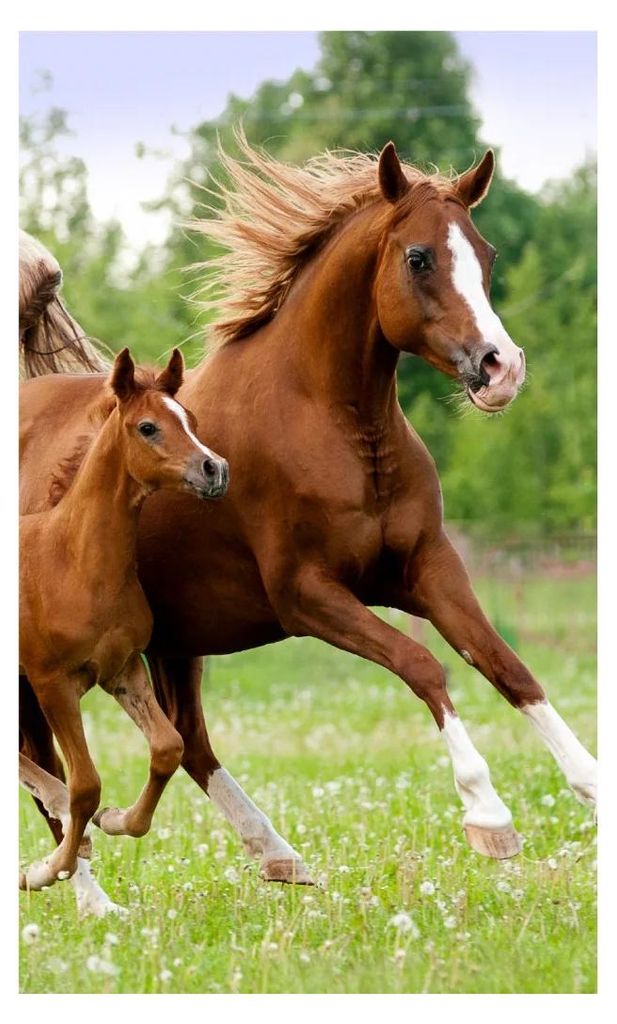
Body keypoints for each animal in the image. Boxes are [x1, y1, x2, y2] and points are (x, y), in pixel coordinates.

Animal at [19, 347, 228, 906]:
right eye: (148, 427)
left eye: (191, 419)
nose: (215, 468)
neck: (72, 560)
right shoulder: (52, 684)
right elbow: (85, 785)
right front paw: (49, 868)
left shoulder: (123, 672)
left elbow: (168, 747)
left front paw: (116, 821)